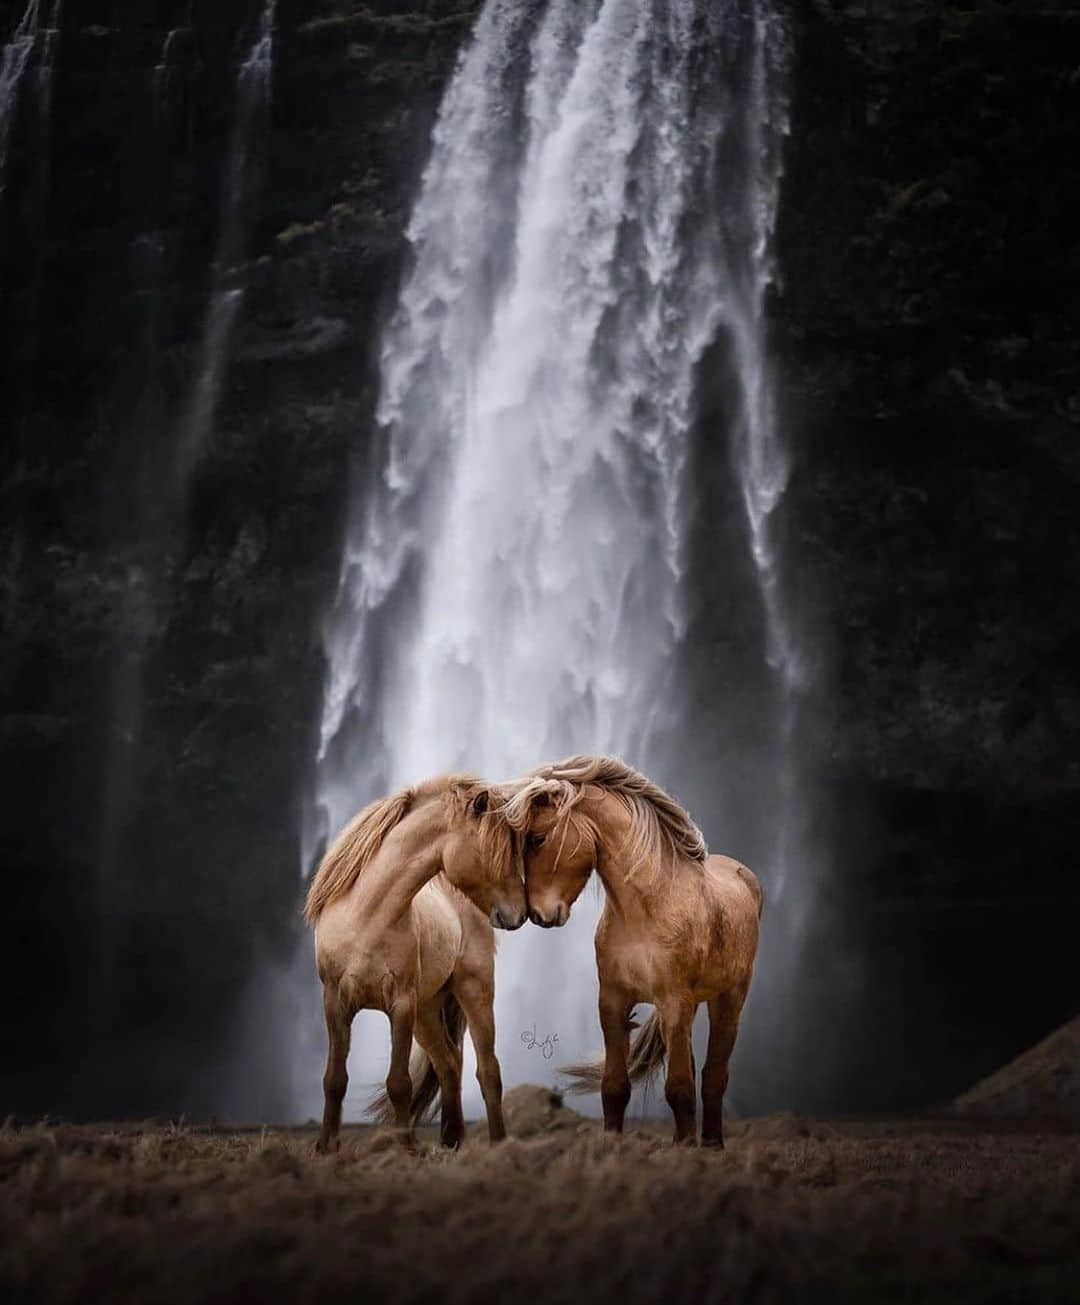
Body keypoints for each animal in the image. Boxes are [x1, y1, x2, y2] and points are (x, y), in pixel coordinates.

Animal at [303, 772, 526, 1153]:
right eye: (492, 850)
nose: (518, 914)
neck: (366, 917)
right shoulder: (335, 1002)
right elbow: (334, 1079)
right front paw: (326, 1147)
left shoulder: (401, 1005)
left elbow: (399, 1083)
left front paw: (405, 1148)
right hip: (427, 1011)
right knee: (449, 1063)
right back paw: (452, 1140)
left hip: (473, 992)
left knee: (487, 1071)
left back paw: (497, 1142)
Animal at [503, 756, 761, 1143]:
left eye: (538, 838)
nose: (537, 915)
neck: (646, 910)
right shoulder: (613, 1001)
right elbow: (614, 1086)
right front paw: (613, 1143)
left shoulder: (673, 1003)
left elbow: (680, 1087)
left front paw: (685, 1147)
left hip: (728, 999)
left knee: (714, 1075)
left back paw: (712, 1145)